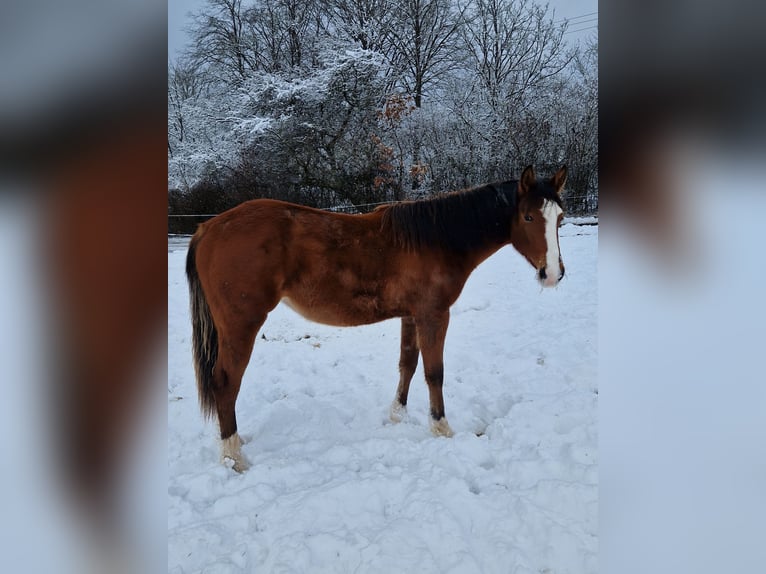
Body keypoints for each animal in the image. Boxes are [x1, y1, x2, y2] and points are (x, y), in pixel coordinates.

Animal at [186, 165, 567, 471]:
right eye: (529, 217)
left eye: (560, 218)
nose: (552, 274)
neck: (437, 240)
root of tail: (208, 228)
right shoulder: (434, 315)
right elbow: (435, 373)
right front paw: (441, 428)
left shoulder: (412, 316)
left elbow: (408, 364)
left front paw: (397, 415)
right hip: (241, 326)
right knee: (225, 383)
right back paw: (233, 456)